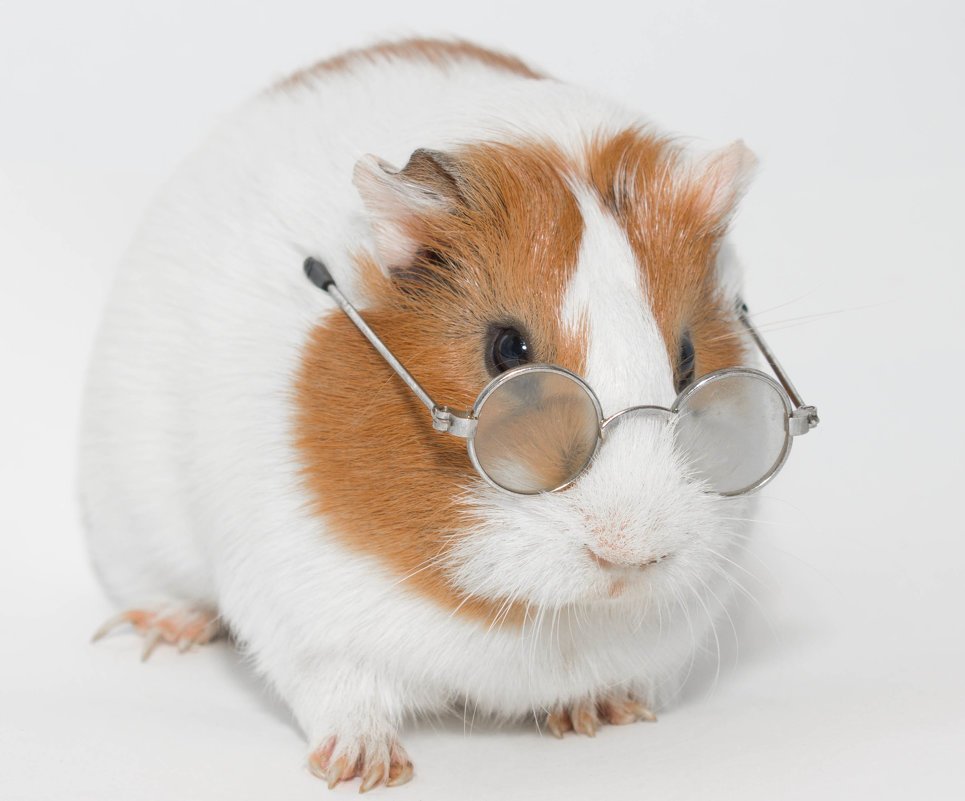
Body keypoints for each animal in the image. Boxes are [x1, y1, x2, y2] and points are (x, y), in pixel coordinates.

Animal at [81, 38, 760, 790]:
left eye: (687, 359)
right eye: (506, 350)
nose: (627, 551)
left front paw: (599, 713)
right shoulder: (307, 619)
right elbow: (342, 694)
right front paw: (364, 769)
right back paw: (159, 629)